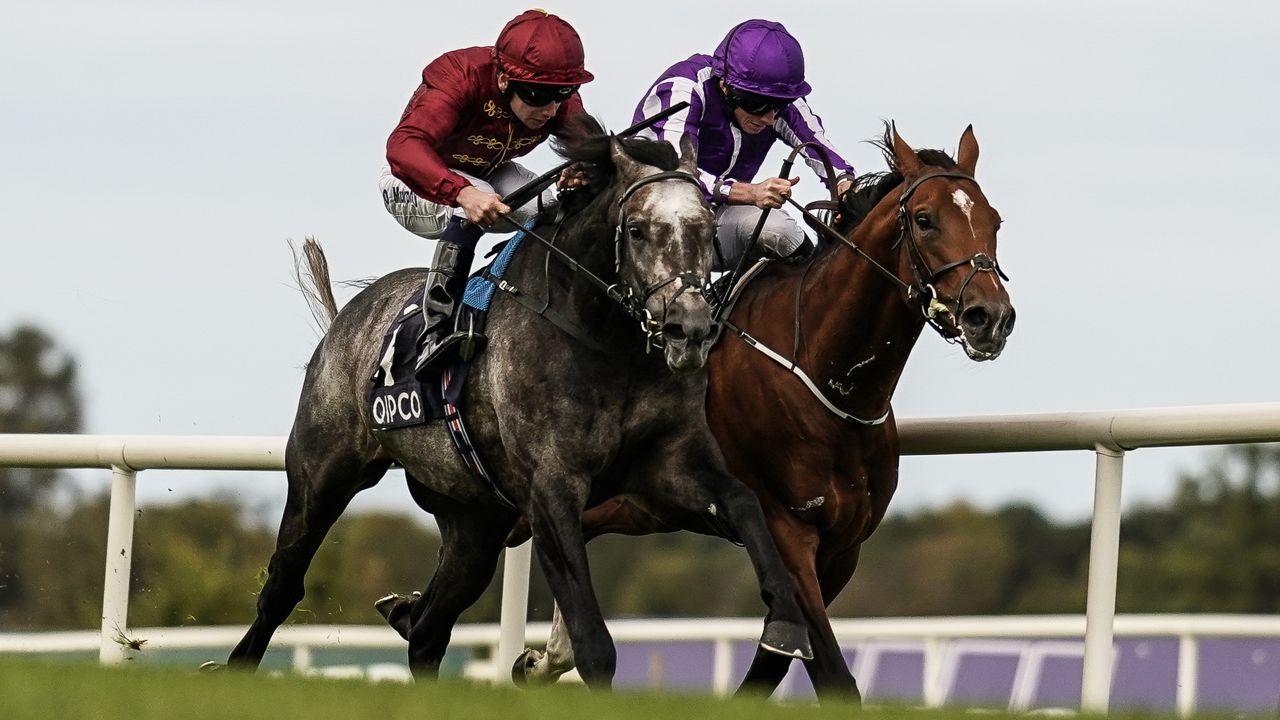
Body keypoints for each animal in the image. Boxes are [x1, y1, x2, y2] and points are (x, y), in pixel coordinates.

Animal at [216, 117, 808, 681]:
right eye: (638, 230)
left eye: (707, 228)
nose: (690, 330)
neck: (604, 339)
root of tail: (347, 316)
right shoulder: (553, 487)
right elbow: (594, 644)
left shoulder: (672, 462)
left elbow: (743, 502)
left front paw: (786, 623)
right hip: (323, 474)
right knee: (284, 585)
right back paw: (235, 667)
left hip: (473, 522)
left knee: (429, 629)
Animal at [506, 122, 1008, 696]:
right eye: (924, 219)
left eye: (994, 220)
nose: (990, 316)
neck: (828, 379)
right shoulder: (786, 531)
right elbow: (831, 672)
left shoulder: (844, 549)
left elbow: (774, 660)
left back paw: (546, 657)